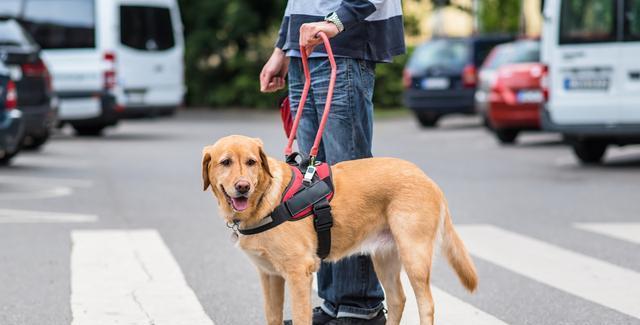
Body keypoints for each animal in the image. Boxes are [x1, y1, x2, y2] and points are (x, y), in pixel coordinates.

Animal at [202, 135, 478, 324]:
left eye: (251, 162)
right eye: (225, 162)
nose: (243, 187)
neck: (264, 201)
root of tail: (426, 178)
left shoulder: (298, 273)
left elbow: (300, 318)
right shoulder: (269, 276)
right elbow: (272, 317)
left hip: (414, 256)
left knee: (426, 304)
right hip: (385, 257)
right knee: (398, 299)